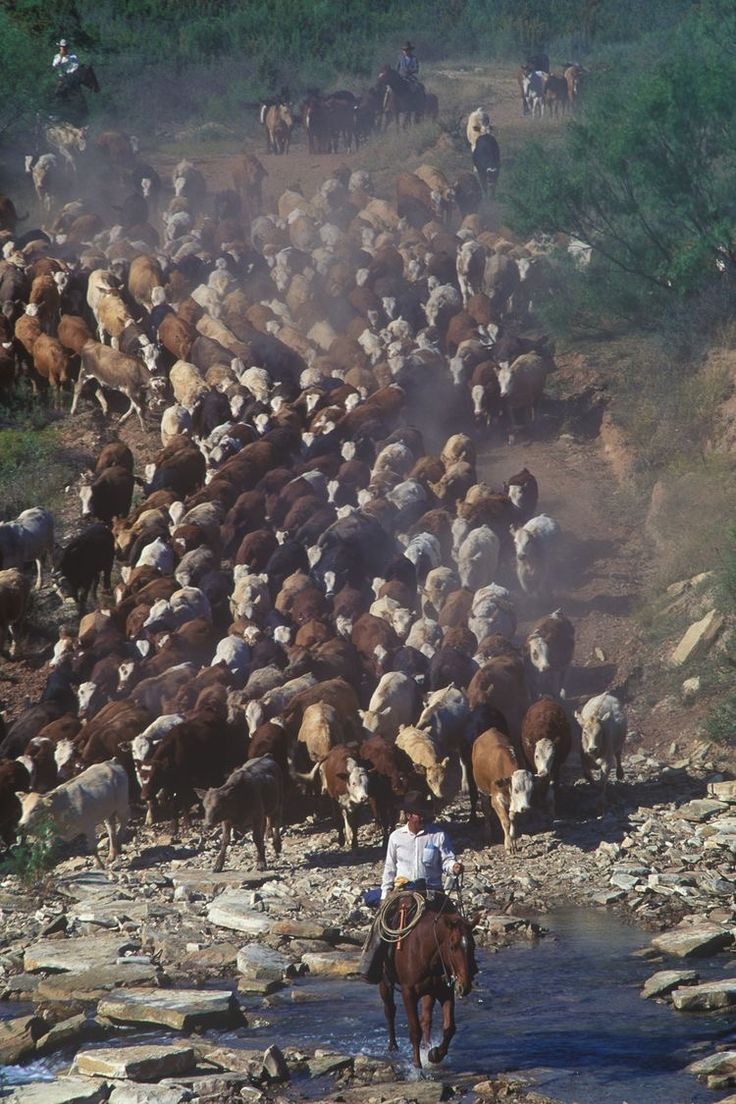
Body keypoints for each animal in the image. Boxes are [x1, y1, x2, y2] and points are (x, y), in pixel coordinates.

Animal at [379, 896, 478, 1068]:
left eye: (473, 946)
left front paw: (434, 1054)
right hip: (385, 982)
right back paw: (393, 1046)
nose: (464, 986)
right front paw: (417, 1066)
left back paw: (427, 1047)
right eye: (452, 946)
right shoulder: (408, 993)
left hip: (429, 992)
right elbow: (414, 1030)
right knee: (389, 1010)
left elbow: (449, 1028)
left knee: (426, 1018)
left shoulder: (444, 991)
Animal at [472, 724, 536, 852]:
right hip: (482, 790)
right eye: (516, 790)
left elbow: (512, 819)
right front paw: (508, 845)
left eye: (531, 790)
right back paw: (488, 834)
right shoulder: (496, 800)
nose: (526, 808)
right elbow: (506, 821)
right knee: (486, 811)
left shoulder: (514, 803)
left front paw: (513, 841)